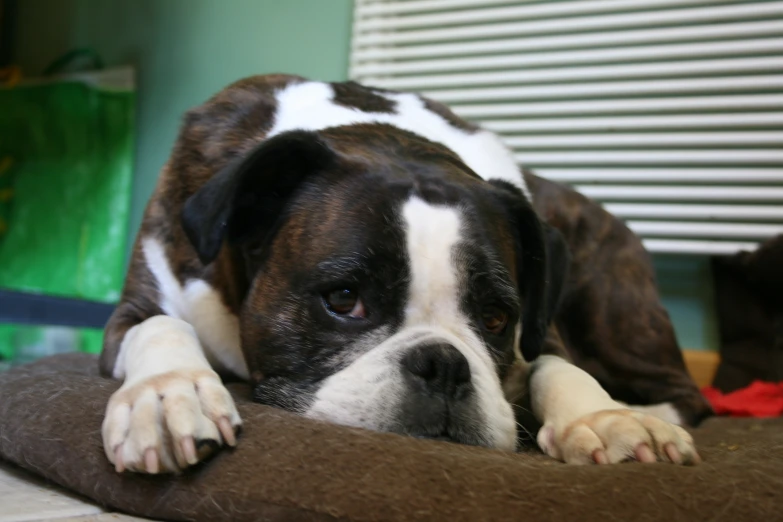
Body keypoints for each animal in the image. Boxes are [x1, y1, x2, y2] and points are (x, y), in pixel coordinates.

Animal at [98, 74, 712, 472]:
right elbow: (160, 327)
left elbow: (557, 367)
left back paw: (638, 408)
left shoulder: (541, 334)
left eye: (497, 318)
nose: (444, 365)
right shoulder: (141, 304)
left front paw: (604, 417)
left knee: (689, 396)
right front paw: (170, 393)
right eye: (344, 299)